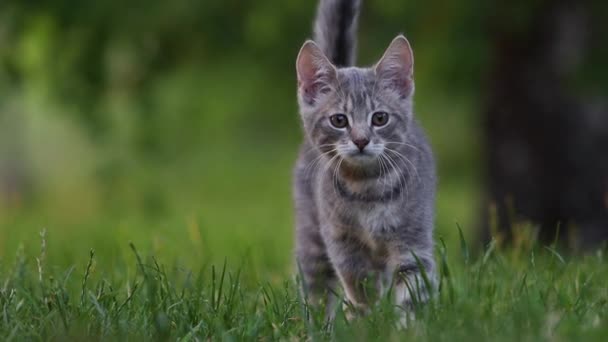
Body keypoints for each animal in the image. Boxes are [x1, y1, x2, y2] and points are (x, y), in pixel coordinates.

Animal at [294, 0, 436, 320]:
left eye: (379, 118)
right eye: (339, 120)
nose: (361, 140)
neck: (368, 189)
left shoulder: (412, 242)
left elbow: (412, 290)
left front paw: (408, 325)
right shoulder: (343, 245)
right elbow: (360, 288)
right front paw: (367, 319)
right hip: (312, 236)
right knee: (317, 288)